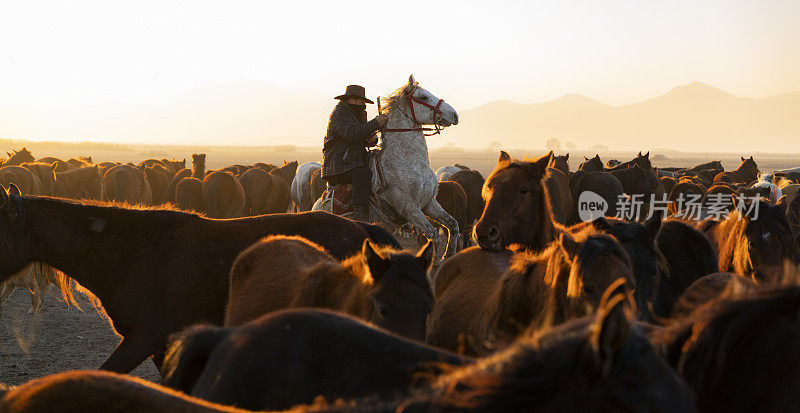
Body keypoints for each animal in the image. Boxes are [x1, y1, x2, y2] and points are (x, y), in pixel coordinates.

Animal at [316, 75, 460, 260]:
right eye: (423, 97)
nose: (454, 115)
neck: (409, 162)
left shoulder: (429, 203)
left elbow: (453, 225)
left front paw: (448, 255)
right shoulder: (410, 208)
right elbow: (434, 237)